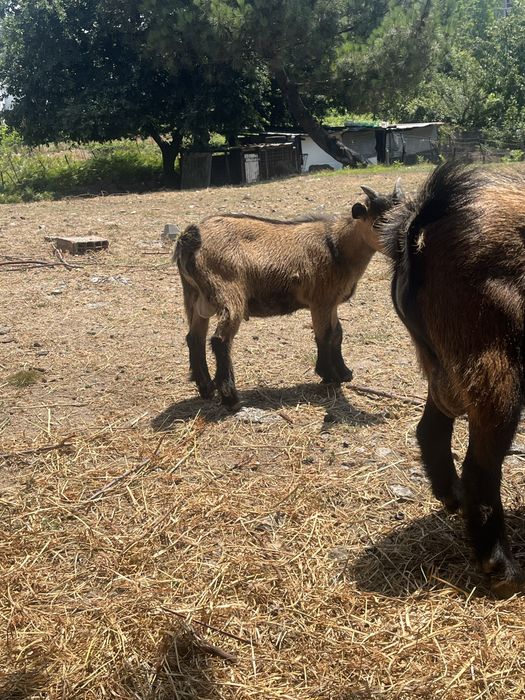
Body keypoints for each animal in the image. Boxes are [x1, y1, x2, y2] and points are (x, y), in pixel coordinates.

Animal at [175, 182, 403, 407]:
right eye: (380, 222)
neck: (337, 245)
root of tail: (191, 237)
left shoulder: (332, 302)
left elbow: (338, 333)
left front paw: (345, 373)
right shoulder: (320, 300)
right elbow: (325, 335)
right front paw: (329, 375)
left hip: (195, 296)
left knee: (194, 337)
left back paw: (206, 388)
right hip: (228, 291)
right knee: (220, 340)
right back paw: (231, 398)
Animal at [381, 160, 525, 595]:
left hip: (447, 370)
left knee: (431, 429)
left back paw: (452, 498)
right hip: (495, 367)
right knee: (481, 467)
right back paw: (501, 568)